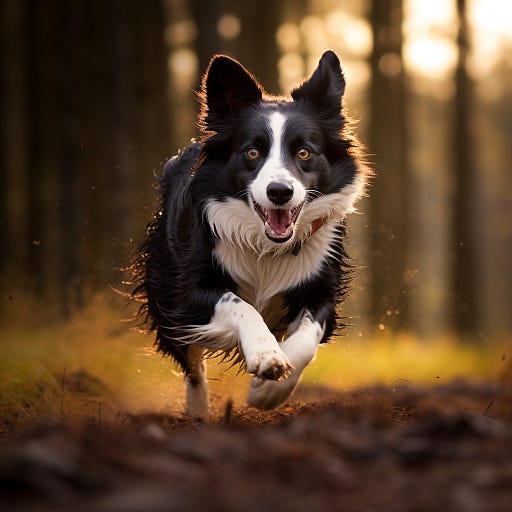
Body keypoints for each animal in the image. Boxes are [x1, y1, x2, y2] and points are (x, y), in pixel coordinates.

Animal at [132, 50, 368, 418]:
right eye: (253, 152)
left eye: (304, 152)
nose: (279, 192)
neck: (266, 245)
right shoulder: (190, 291)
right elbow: (241, 305)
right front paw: (266, 355)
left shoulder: (321, 288)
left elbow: (308, 337)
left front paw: (269, 390)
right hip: (165, 287)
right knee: (191, 361)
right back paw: (197, 411)